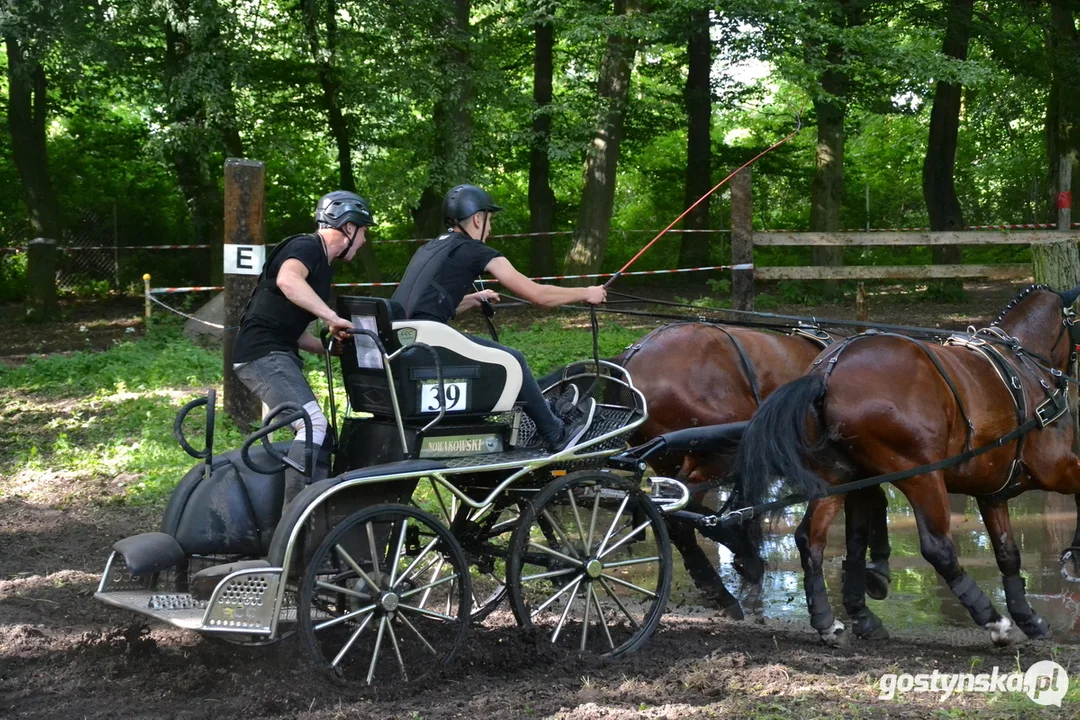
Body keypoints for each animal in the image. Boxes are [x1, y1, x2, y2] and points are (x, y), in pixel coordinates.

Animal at [734, 284, 1080, 647]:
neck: (1025, 368)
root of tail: (826, 373)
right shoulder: (1056, 467)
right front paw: (1074, 558)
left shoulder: (992, 491)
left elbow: (1008, 553)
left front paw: (1029, 617)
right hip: (922, 476)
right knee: (938, 548)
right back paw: (994, 621)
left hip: (841, 477)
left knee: (816, 539)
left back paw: (834, 621)